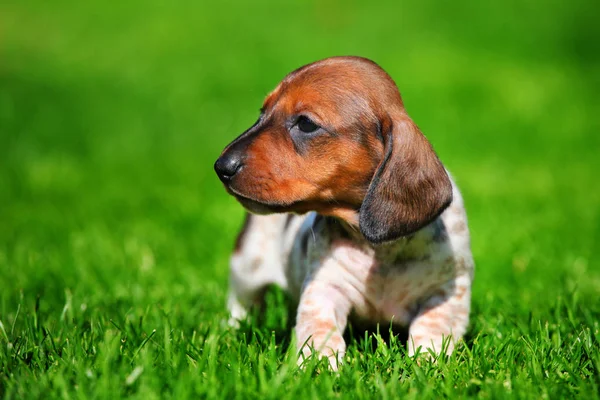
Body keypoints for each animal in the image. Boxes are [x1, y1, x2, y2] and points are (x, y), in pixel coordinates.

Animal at [214, 55, 474, 368]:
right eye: (262, 112)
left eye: (305, 123)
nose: (221, 166)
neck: (380, 251)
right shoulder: (326, 287)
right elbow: (319, 325)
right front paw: (321, 364)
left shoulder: (446, 290)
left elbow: (432, 328)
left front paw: (425, 363)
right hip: (247, 264)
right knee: (241, 302)